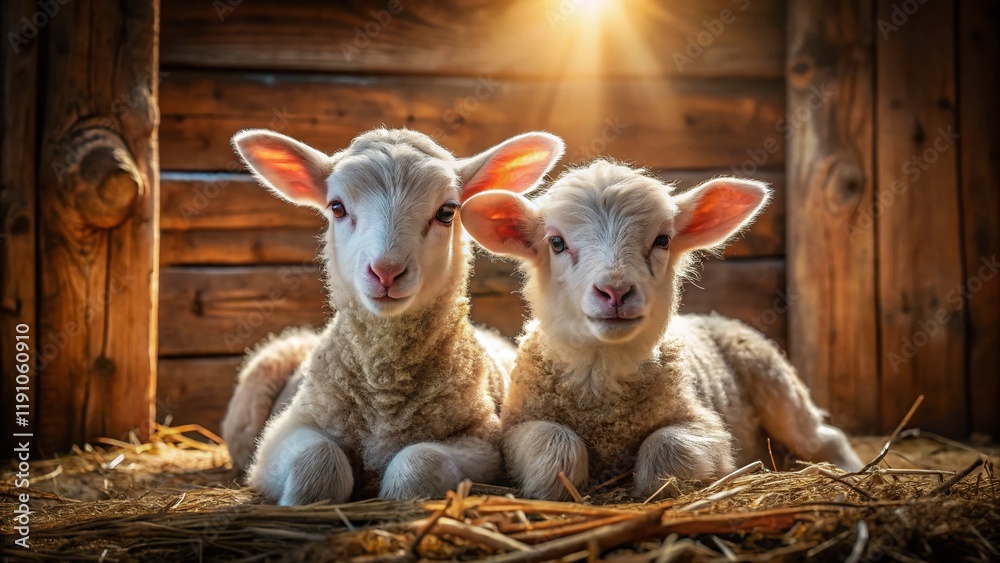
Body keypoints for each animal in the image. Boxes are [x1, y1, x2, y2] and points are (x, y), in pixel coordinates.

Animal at [225, 128, 564, 504]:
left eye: (447, 212)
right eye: (337, 207)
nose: (386, 272)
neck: (384, 388)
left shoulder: (483, 443)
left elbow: (420, 464)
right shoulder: (284, 432)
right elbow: (318, 461)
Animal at [461, 160, 864, 501]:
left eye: (662, 240)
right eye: (556, 242)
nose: (615, 292)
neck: (600, 372)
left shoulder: (707, 428)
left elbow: (666, 449)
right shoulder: (516, 428)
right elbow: (558, 445)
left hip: (775, 381)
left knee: (823, 438)